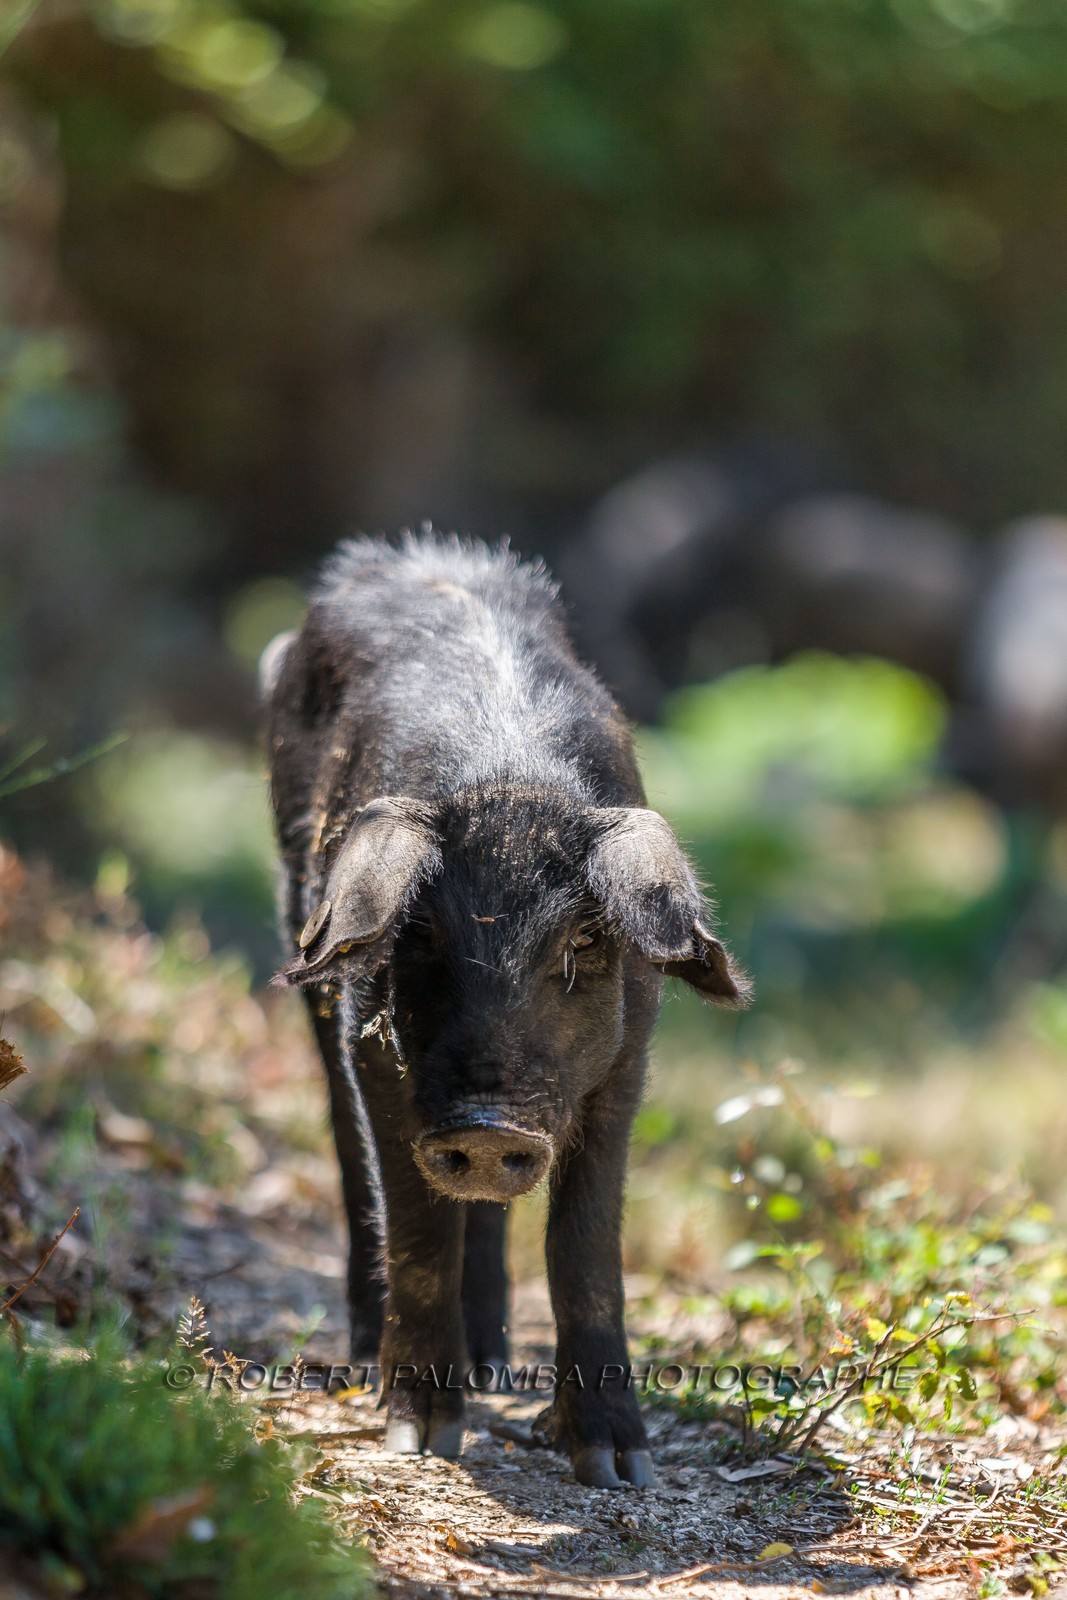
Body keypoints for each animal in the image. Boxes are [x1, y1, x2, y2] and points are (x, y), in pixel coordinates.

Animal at [265, 531, 749, 1489]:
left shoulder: (627, 1059)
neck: (510, 785)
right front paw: (422, 1438)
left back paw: (492, 1361)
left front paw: (616, 1467)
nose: (488, 1128)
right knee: (351, 1156)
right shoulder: (376, 1052)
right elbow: (415, 1223)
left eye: (583, 943)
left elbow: (585, 1243)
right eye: (420, 936)